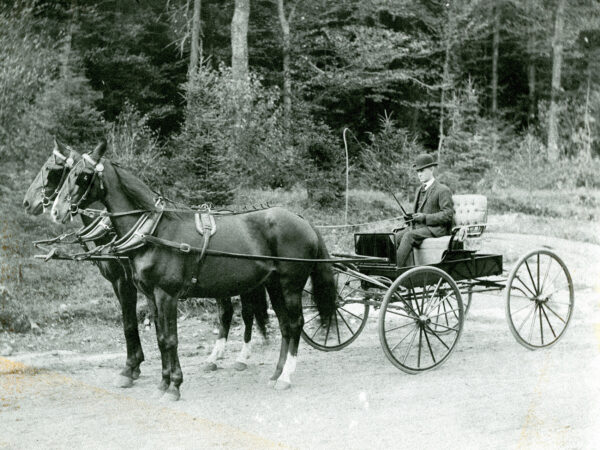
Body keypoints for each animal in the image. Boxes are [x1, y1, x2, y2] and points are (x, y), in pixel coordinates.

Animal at [23, 142, 268, 386]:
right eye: (64, 173)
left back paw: (242, 357)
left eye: (53, 169)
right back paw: (215, 358)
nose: (29, 203)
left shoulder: (124, 282)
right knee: (228, 312)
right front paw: (144, 369)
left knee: (246, 312)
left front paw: (130, 368)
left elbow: (129, 323)